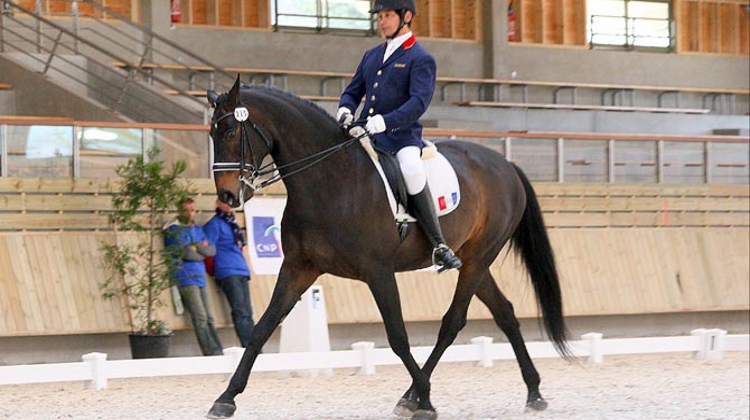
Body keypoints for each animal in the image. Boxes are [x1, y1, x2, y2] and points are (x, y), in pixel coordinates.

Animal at [204, 76, 568, 420]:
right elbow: (262, 329)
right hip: (473, 261)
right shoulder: (299, 267)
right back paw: (533, 392)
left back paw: (416, 395)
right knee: (504, 313)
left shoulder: (378, 271)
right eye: (211, 134)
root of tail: (505, 164)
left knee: (453, 323)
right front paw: (225, 399)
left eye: (232, 132)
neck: (329, 181)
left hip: (479, 258)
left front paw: (427, 401)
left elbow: (397, 336)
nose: (228, 196)